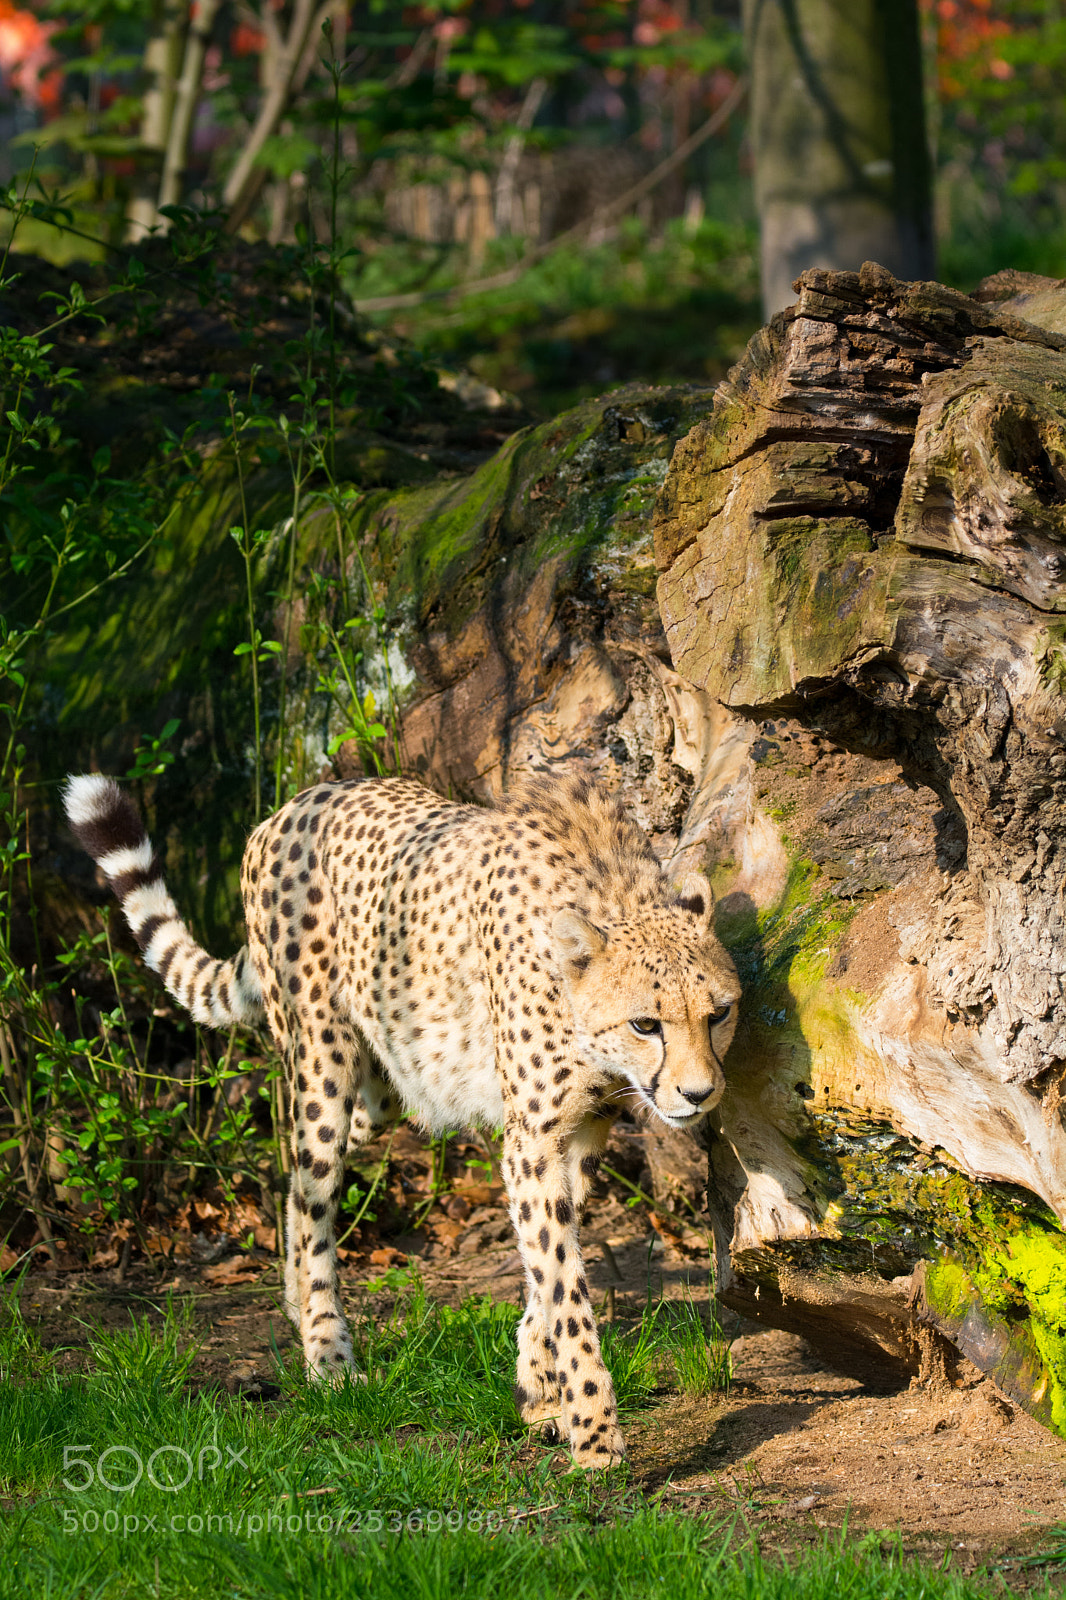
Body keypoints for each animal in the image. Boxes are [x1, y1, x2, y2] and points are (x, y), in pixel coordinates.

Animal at [63, 769, 740, 1468]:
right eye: (646, 1024)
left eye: (718, 1013)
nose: (699, 1094)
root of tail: (292, 805)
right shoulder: (533, 1138)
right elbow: (562, 1286)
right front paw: (593, 1433)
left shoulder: (575, 1134)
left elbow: (543, 1272)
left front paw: (537, 1388)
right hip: (322, 1064)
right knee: (314, 1191)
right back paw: (326, 1351)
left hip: (385, 1085)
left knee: (296, 1177)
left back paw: (295, 1298)